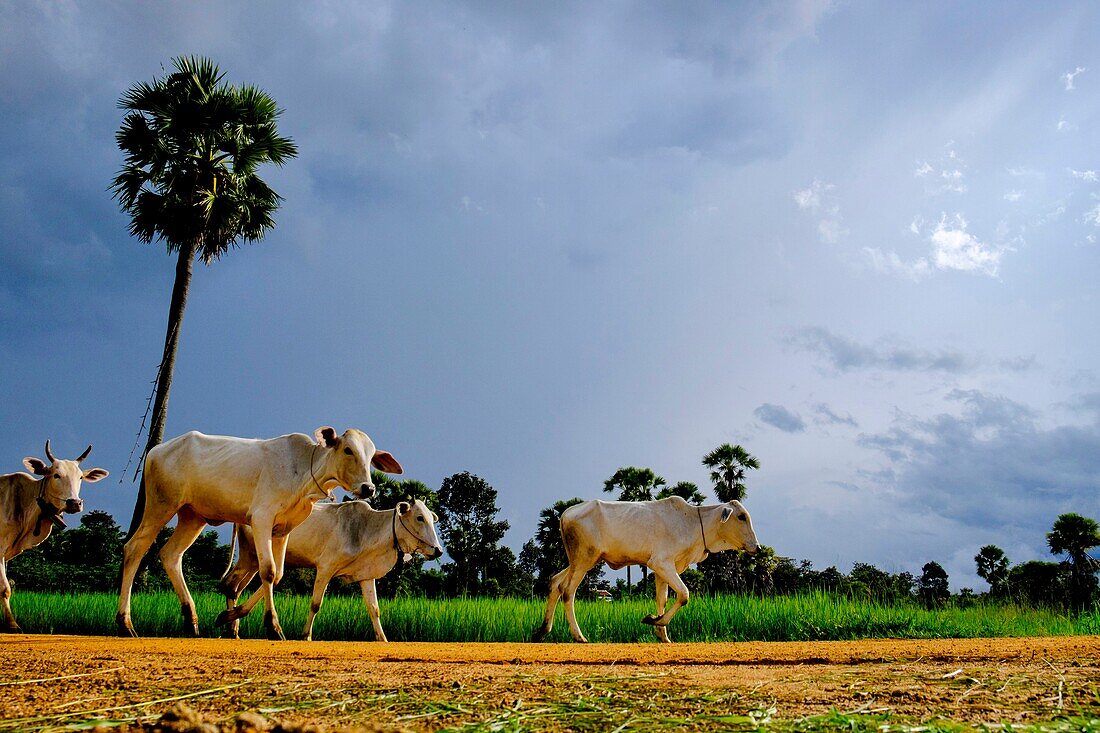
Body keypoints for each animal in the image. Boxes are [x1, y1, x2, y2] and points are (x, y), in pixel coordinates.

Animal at [218, 497, 442, 638]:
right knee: (239, 583)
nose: (438, 550)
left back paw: (232, 627)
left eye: (432, 518)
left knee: (234, 585)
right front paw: (306, 635)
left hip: (252, 560)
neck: (366, 528)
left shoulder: (366, 576)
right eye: (419, 517)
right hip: (251, 555)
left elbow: (374, 609)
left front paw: (383, 638)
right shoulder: (325, 568)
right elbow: (315, 604)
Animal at [536, 493, 761, 642]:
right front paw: (655, 621)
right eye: (741, 516)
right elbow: (684, 594)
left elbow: (663, 599)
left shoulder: (663, 570)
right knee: (568, 591)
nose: (757, 547)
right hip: (584, 560)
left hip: (578, 561)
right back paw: (578, 636)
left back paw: (542, 631)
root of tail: (566, 513)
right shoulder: (661, 563)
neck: (695, 524)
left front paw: (662, 633)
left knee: (555, 583)